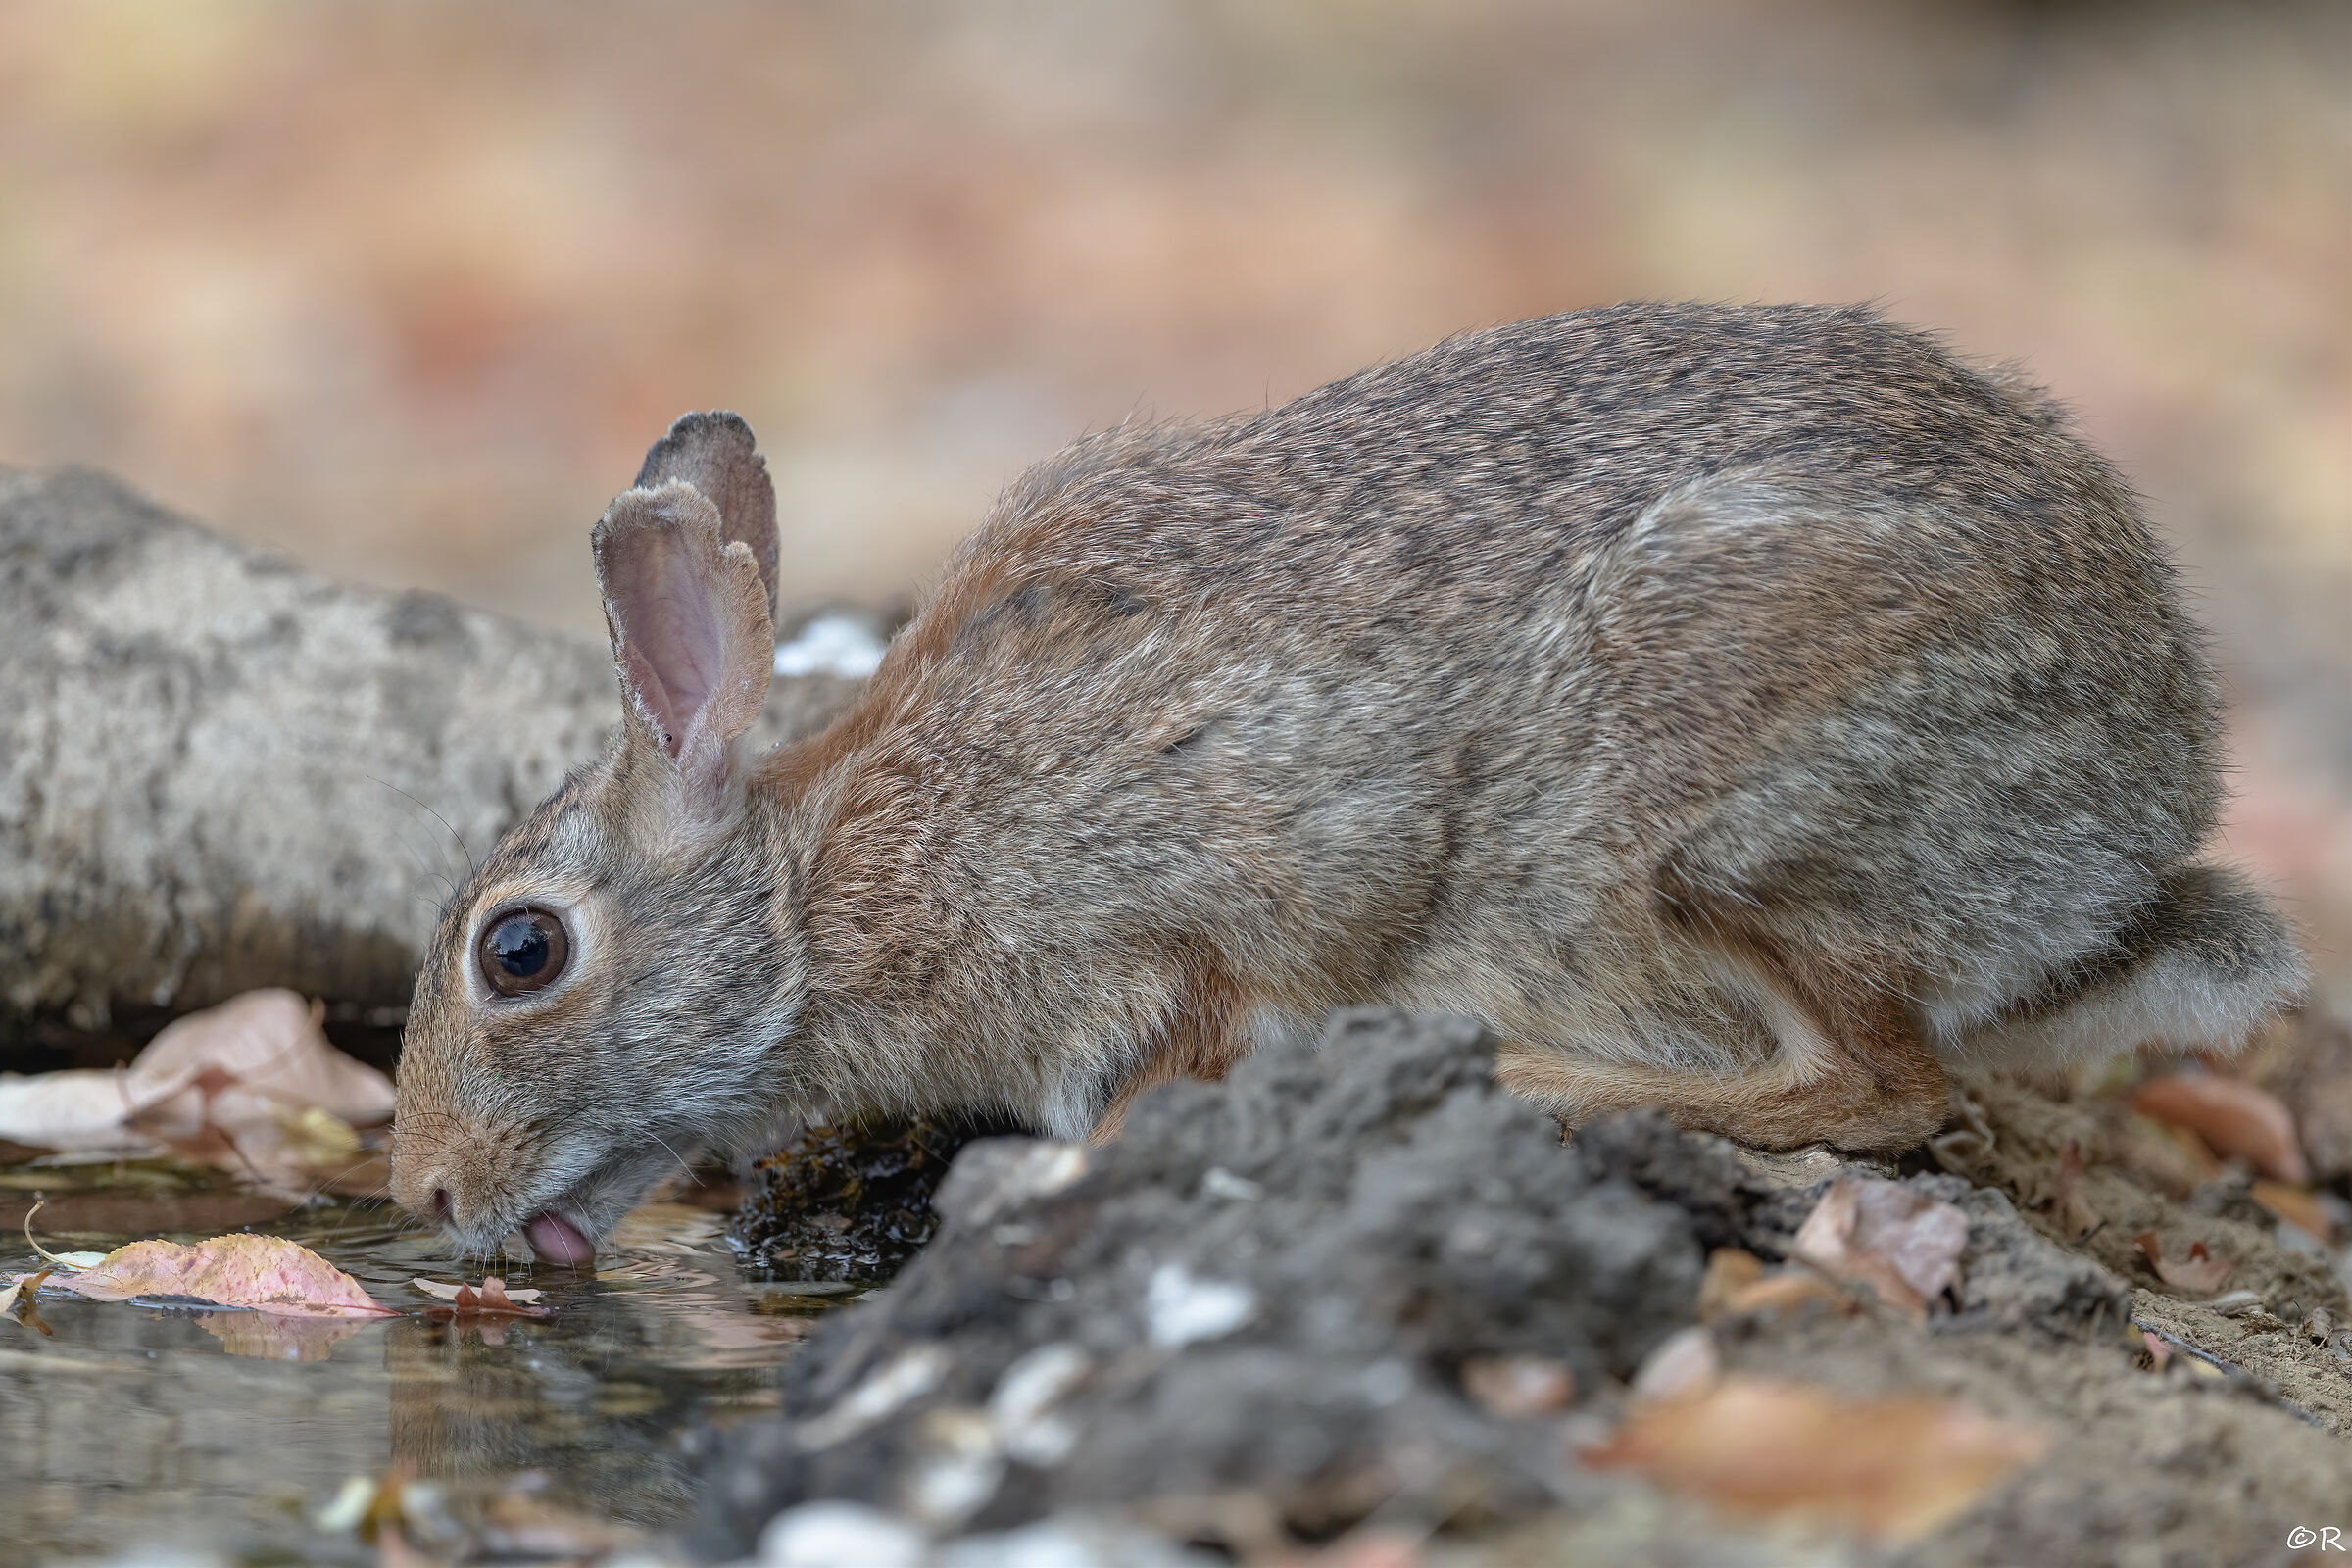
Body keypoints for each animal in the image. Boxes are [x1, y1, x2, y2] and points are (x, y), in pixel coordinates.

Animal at [389, 302, 2305, 1264]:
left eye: (520, 953)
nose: (419, 1195)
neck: (821, 897)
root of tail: (2137, 830)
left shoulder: (1184, 905)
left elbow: (1177, 1043)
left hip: (1721, 802)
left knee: (1885, 1087)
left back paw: (1536, 1077)